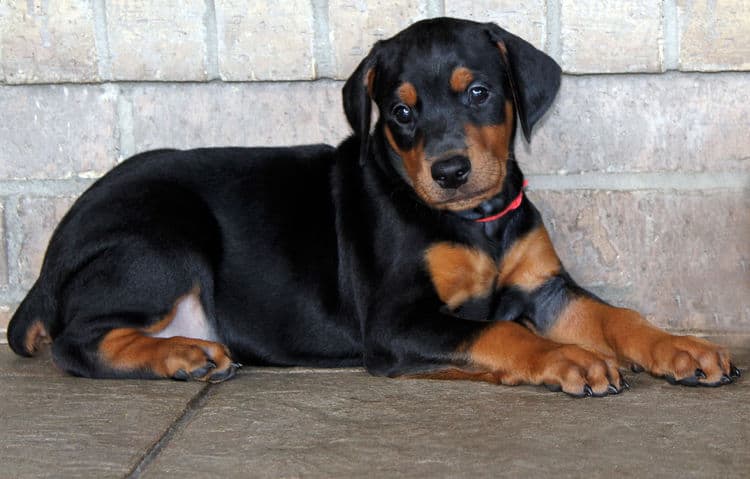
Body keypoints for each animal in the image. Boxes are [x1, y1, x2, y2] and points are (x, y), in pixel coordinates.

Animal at [8, 17, 744, 398]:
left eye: (478, 91)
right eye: (400, 113)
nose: (450, 171)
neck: (474, 221)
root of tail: (48, 263)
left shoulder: (546, 287)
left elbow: (616, 316)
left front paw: (679, 346)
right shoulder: (396, 320)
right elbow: (500, 333)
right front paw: (566, 359)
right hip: (163, 233)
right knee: (76, 342)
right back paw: (180, 356)